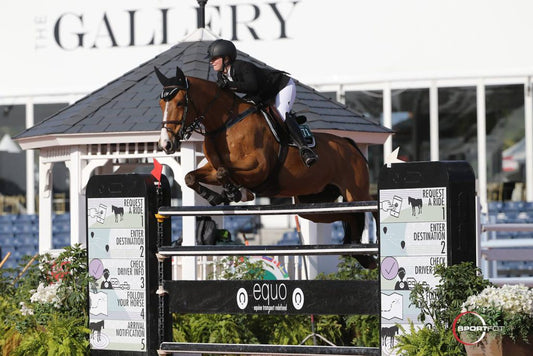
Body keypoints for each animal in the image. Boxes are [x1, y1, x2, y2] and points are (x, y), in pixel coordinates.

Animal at [155, 66, 378, 268]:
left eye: (180, 102)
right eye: (161, 103)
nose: (166, 144)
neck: (225, 123)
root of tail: (349, 144)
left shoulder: (259, 168)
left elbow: (224, 172)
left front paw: (236, 193)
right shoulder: (211, 167)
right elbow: (191, 177)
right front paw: (217, 196)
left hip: (355, 193)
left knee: (370, 208)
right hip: (314, 203)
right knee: (349, 215)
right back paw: (362, 254)